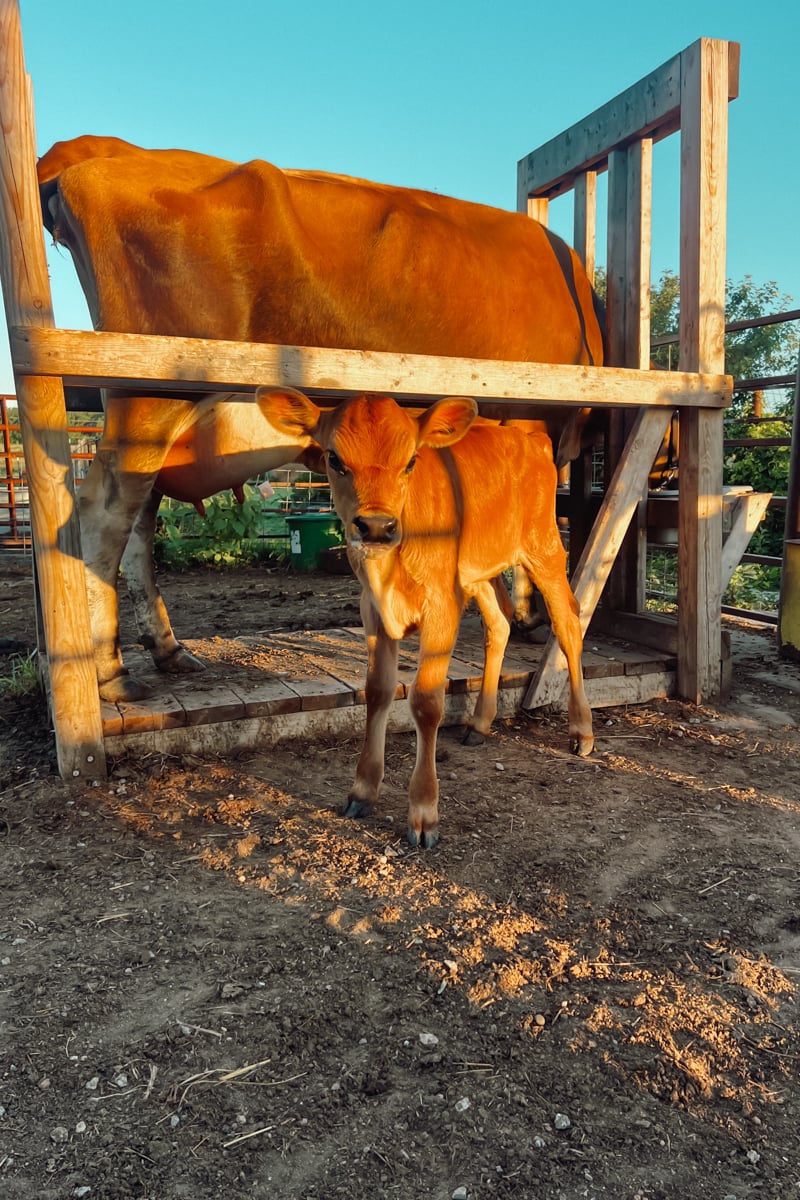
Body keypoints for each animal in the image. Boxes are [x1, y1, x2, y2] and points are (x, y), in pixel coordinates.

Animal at [37, 134, 604, 702]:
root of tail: (111, 149)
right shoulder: (530, 419)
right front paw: (528, 614)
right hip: (150, 397)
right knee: (102, 516)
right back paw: (107, 671)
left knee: (138, 524)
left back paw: (167, 650)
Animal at [257, 387, 594, 847]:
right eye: (334, 458)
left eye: (411, 461)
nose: (376, 527)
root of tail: (533, 440)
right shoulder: (373, 609)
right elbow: (377, 691)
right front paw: (362, 791)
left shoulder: (440, 606)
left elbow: (426, 701)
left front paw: (423, 812)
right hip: (477, 573)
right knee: (500, 624)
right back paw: (480, 723)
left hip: (543, 549)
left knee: (568, 624)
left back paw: (582, 732)